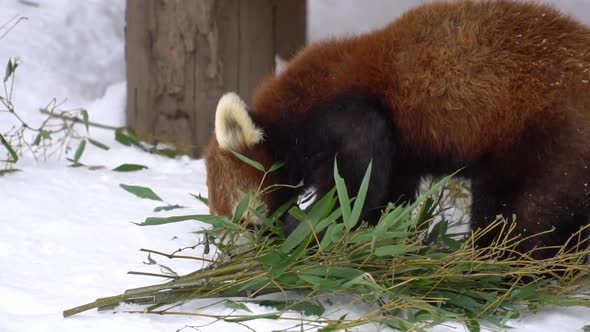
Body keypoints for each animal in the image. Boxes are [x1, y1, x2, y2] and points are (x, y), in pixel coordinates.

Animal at [205, 0, 590, 260]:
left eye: (247, 221)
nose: (236, 254)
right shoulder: (402, 154)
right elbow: (387, 194)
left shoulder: (349, 117)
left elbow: (353, 190)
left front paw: (305, 231)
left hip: (547, 140)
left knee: (522, 211)